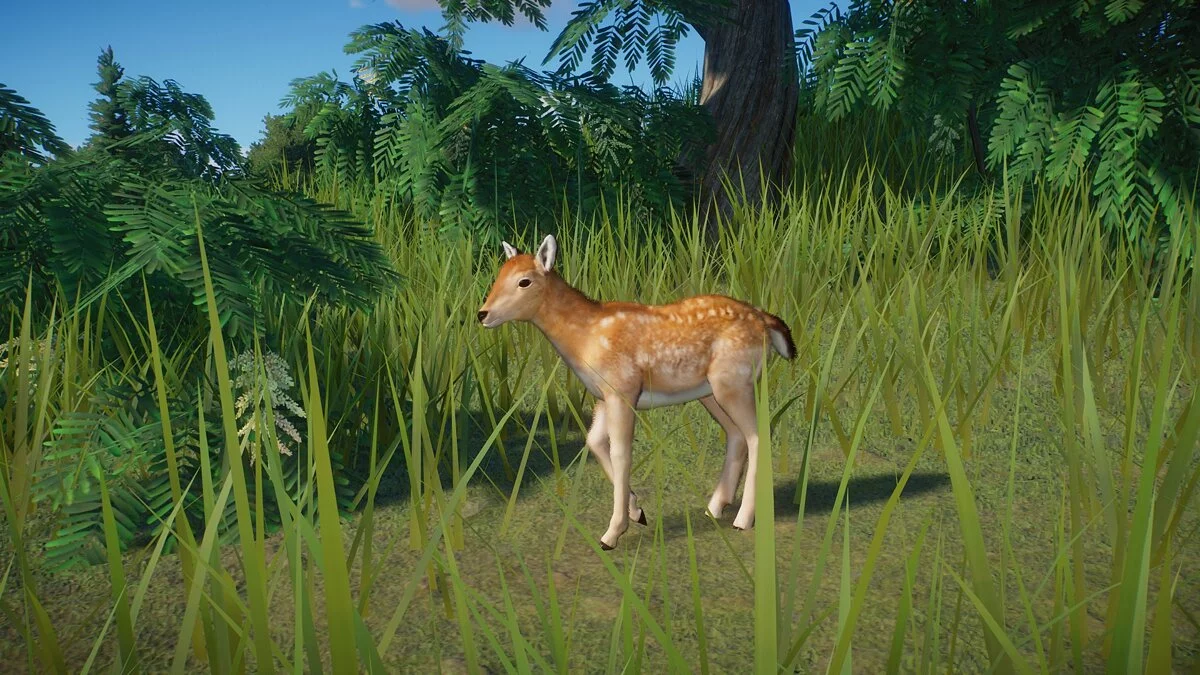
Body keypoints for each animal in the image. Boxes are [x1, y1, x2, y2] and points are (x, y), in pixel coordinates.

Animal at [478, 235, 795, 550]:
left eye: (524, 281)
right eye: (499, 274)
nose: (482, 314)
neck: (586, 338)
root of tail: (765, 322)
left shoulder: (623, 388)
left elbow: (621, 453)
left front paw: (612, 534)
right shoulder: (603, 396)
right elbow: (594, 442)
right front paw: (637, 511)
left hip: (735, 382)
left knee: (758, 434)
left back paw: (744, 519)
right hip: (712, 391)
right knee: (737, 434)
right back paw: (714, 507)